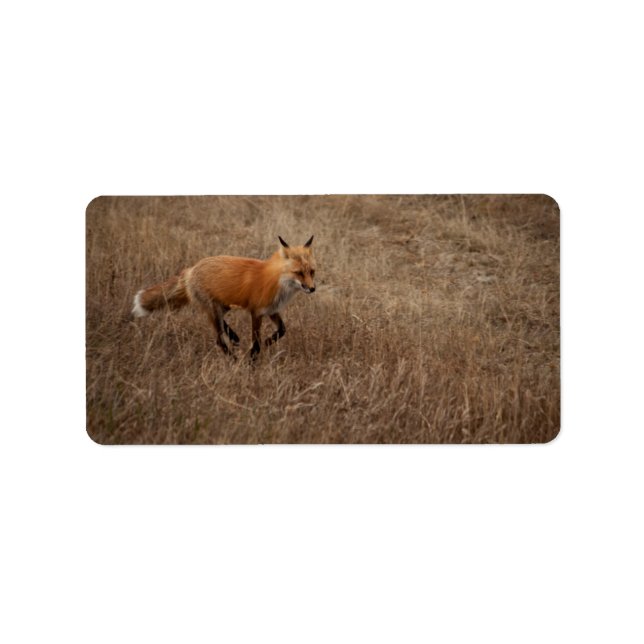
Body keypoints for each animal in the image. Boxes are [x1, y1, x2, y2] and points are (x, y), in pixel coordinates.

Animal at [131, 235, 316, 359]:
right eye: (299, 273)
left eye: (312, 272)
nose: (313, 288)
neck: (277, 281)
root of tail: (191, 269)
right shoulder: (256, 312)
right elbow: (256, 342)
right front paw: (251, 360)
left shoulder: (271, 310)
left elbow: (282, 330)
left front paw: (267, 342)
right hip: (214, 310)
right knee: (219, 340)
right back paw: (233, 359)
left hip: (222, 306)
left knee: (223, 326)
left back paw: (234, 337)